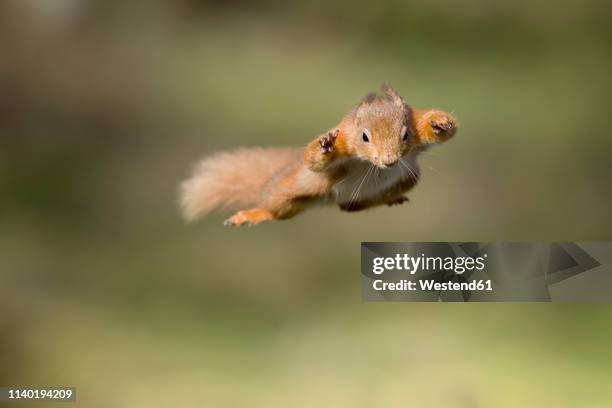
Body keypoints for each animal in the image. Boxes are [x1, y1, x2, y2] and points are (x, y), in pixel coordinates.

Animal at [179, 85, 456, 226]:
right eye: (364, 137)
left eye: (406, 135)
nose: (389, 161)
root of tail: (329, 199)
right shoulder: (344, 137)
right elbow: (313, 161)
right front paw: (325, 146)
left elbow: (447, 131)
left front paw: (440, 123)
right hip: (289, 190)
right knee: (277, 210)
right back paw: (251, 215)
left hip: (408, 178)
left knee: (350, 208)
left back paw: (391, 198)